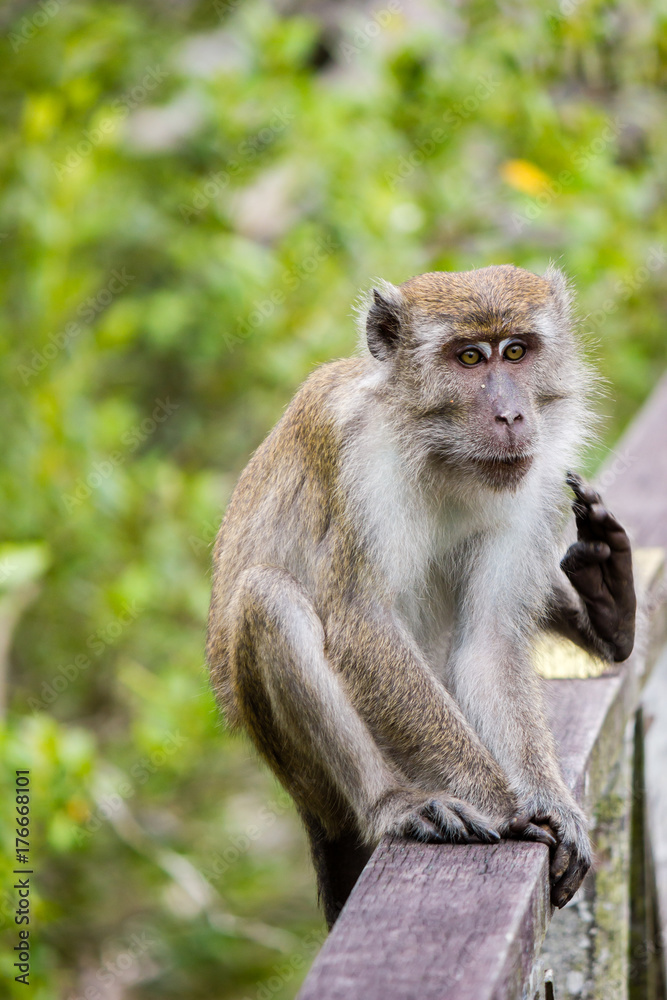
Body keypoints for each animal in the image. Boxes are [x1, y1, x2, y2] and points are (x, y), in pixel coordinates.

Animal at [207, 264, 636, 920]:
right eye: (469, 357)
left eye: (516, 352)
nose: (510, 416)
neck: (441, 454)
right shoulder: (357, 464)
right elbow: (359, 625)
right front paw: (507, 807)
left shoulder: (534, 477)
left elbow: (489, 642)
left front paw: (551, 805)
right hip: (314, 776)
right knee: (267, 599)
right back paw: (395, 804)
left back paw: (609, 608)